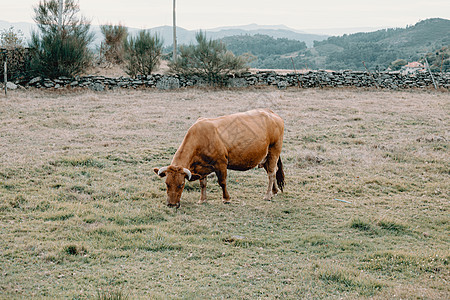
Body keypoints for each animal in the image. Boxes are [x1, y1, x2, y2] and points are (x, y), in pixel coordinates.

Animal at [153, 108, 284, 209]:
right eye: (167, 184)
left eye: (181, 185)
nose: (171, 204)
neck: (200, 138)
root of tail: (271, 113)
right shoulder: (201, 168)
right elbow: (203, 183)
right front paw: (202, 200)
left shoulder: (221, 164)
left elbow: (222, 182)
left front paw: (226, 198)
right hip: (266, 157)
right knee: (274, 171)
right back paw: (274, 191)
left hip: (274, 151)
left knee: (271, 173)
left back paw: (267, 196)